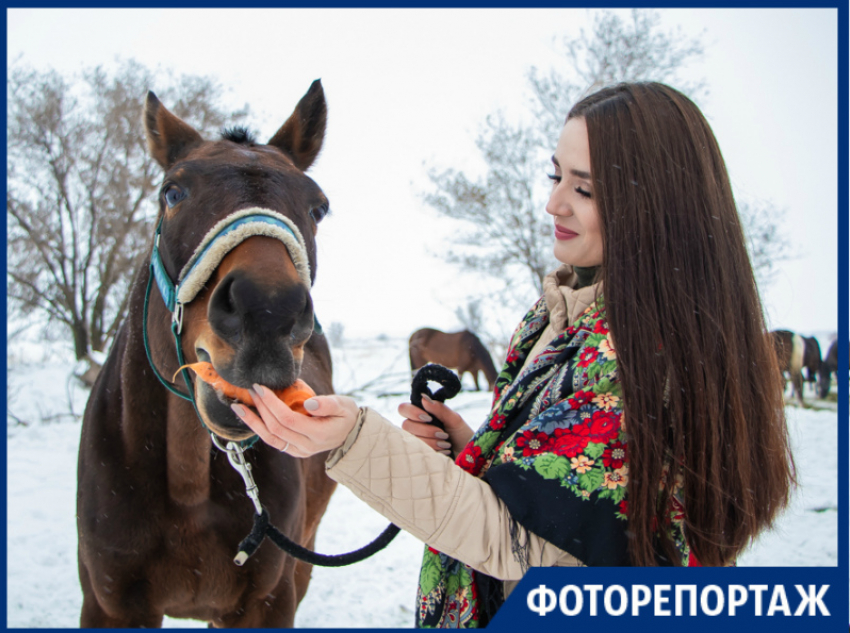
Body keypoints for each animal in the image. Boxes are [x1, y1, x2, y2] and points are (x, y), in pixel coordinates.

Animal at [75, 80, 334, 628]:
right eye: (172, 192)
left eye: (318, 207)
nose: (268, 310)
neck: (187, 487)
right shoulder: (109, 605)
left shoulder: (266, 603)